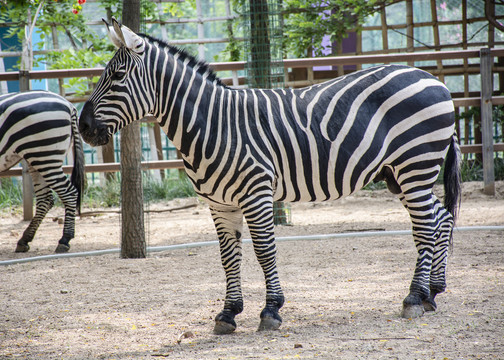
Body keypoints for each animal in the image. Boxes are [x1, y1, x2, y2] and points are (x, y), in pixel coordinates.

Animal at [0, 90, 85, 253]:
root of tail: (69, 104)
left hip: (44, 155)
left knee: (69, 193)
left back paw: (65, 239)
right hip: (38, 158)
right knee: (45, 198)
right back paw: (24, 240)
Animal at [79, 19, 460, 334]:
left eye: (117, 76)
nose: (82, 127)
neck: (212, 125)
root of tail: (433, 79)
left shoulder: (256, 193)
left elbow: (264, 251)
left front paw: (271, 310)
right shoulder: (219, 204)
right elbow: (228, 256)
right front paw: (228, 312)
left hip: (415, 164)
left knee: (426, 225)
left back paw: (414, 297)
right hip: (401, 173)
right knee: (440, 217)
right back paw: (432, 292)